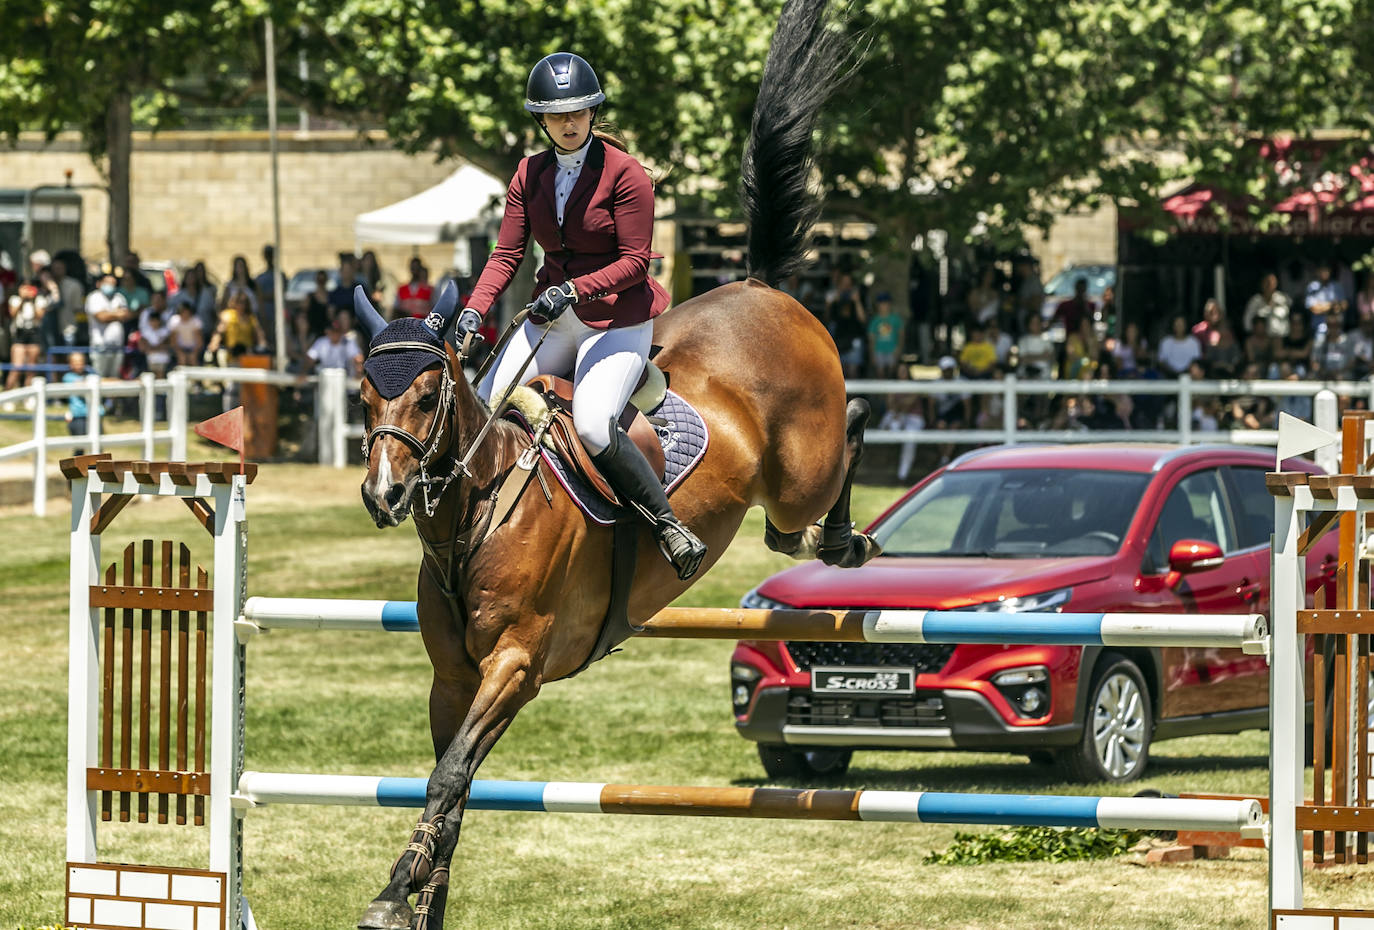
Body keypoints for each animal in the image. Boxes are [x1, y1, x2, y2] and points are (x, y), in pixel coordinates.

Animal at [351, 3, 868, 923]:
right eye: (365, 395)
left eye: (429, 395)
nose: (385, 493)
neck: (473, 517)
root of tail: (762, 288)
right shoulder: (454, 677)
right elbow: (450, 793)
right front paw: (416, 895)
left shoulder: (517, 665)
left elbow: (447, 782)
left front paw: (391, 895)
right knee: (791, 523)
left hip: (800, 473)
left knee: (845, 439)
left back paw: (847, 537)